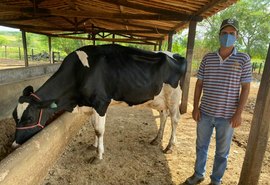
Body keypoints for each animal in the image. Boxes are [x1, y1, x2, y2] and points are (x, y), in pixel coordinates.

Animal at [11, 44, 187, 163]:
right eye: (14, 117)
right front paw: (94, 146)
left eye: (29, 118)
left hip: (174, 96)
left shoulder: (101, 103)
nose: (13, 145)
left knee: (175, 119)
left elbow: (99, 130)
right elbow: (93, 127)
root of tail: (176, 55)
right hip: (160, 100)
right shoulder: (90, 105)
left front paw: (98, 155)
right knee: (164, 116)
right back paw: (156, 139)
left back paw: (170, 146)